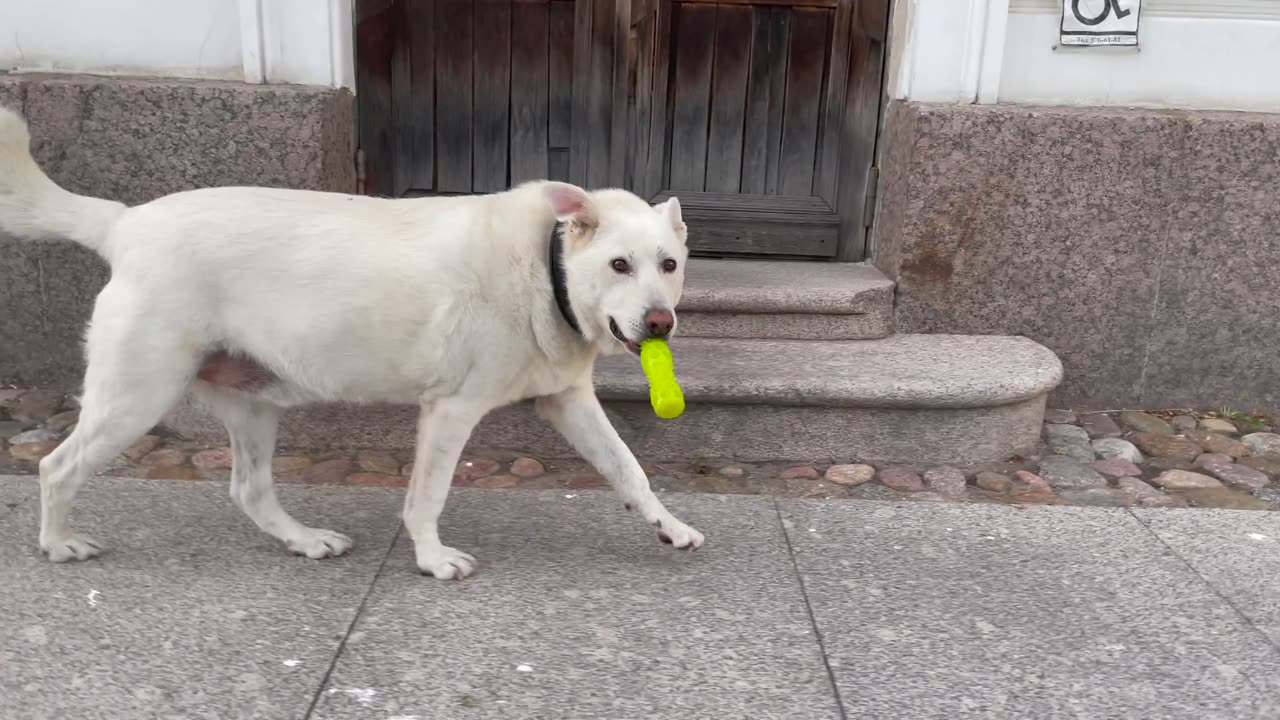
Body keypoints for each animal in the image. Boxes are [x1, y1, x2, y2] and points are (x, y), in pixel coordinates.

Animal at [0, 107, 701, 576]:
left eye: (668, 265)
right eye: (618, 265)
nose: (660, 323)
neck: (545, 265)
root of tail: (127, 223)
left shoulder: (568, 401)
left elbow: (630, 470)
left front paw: (669, 526)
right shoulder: (450, 411)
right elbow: (427, 496)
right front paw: (431, 558)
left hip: (250, 406)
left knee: (249, 490)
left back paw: (305, 539)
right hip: (135, 398)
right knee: (56, 467)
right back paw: (59, 544)